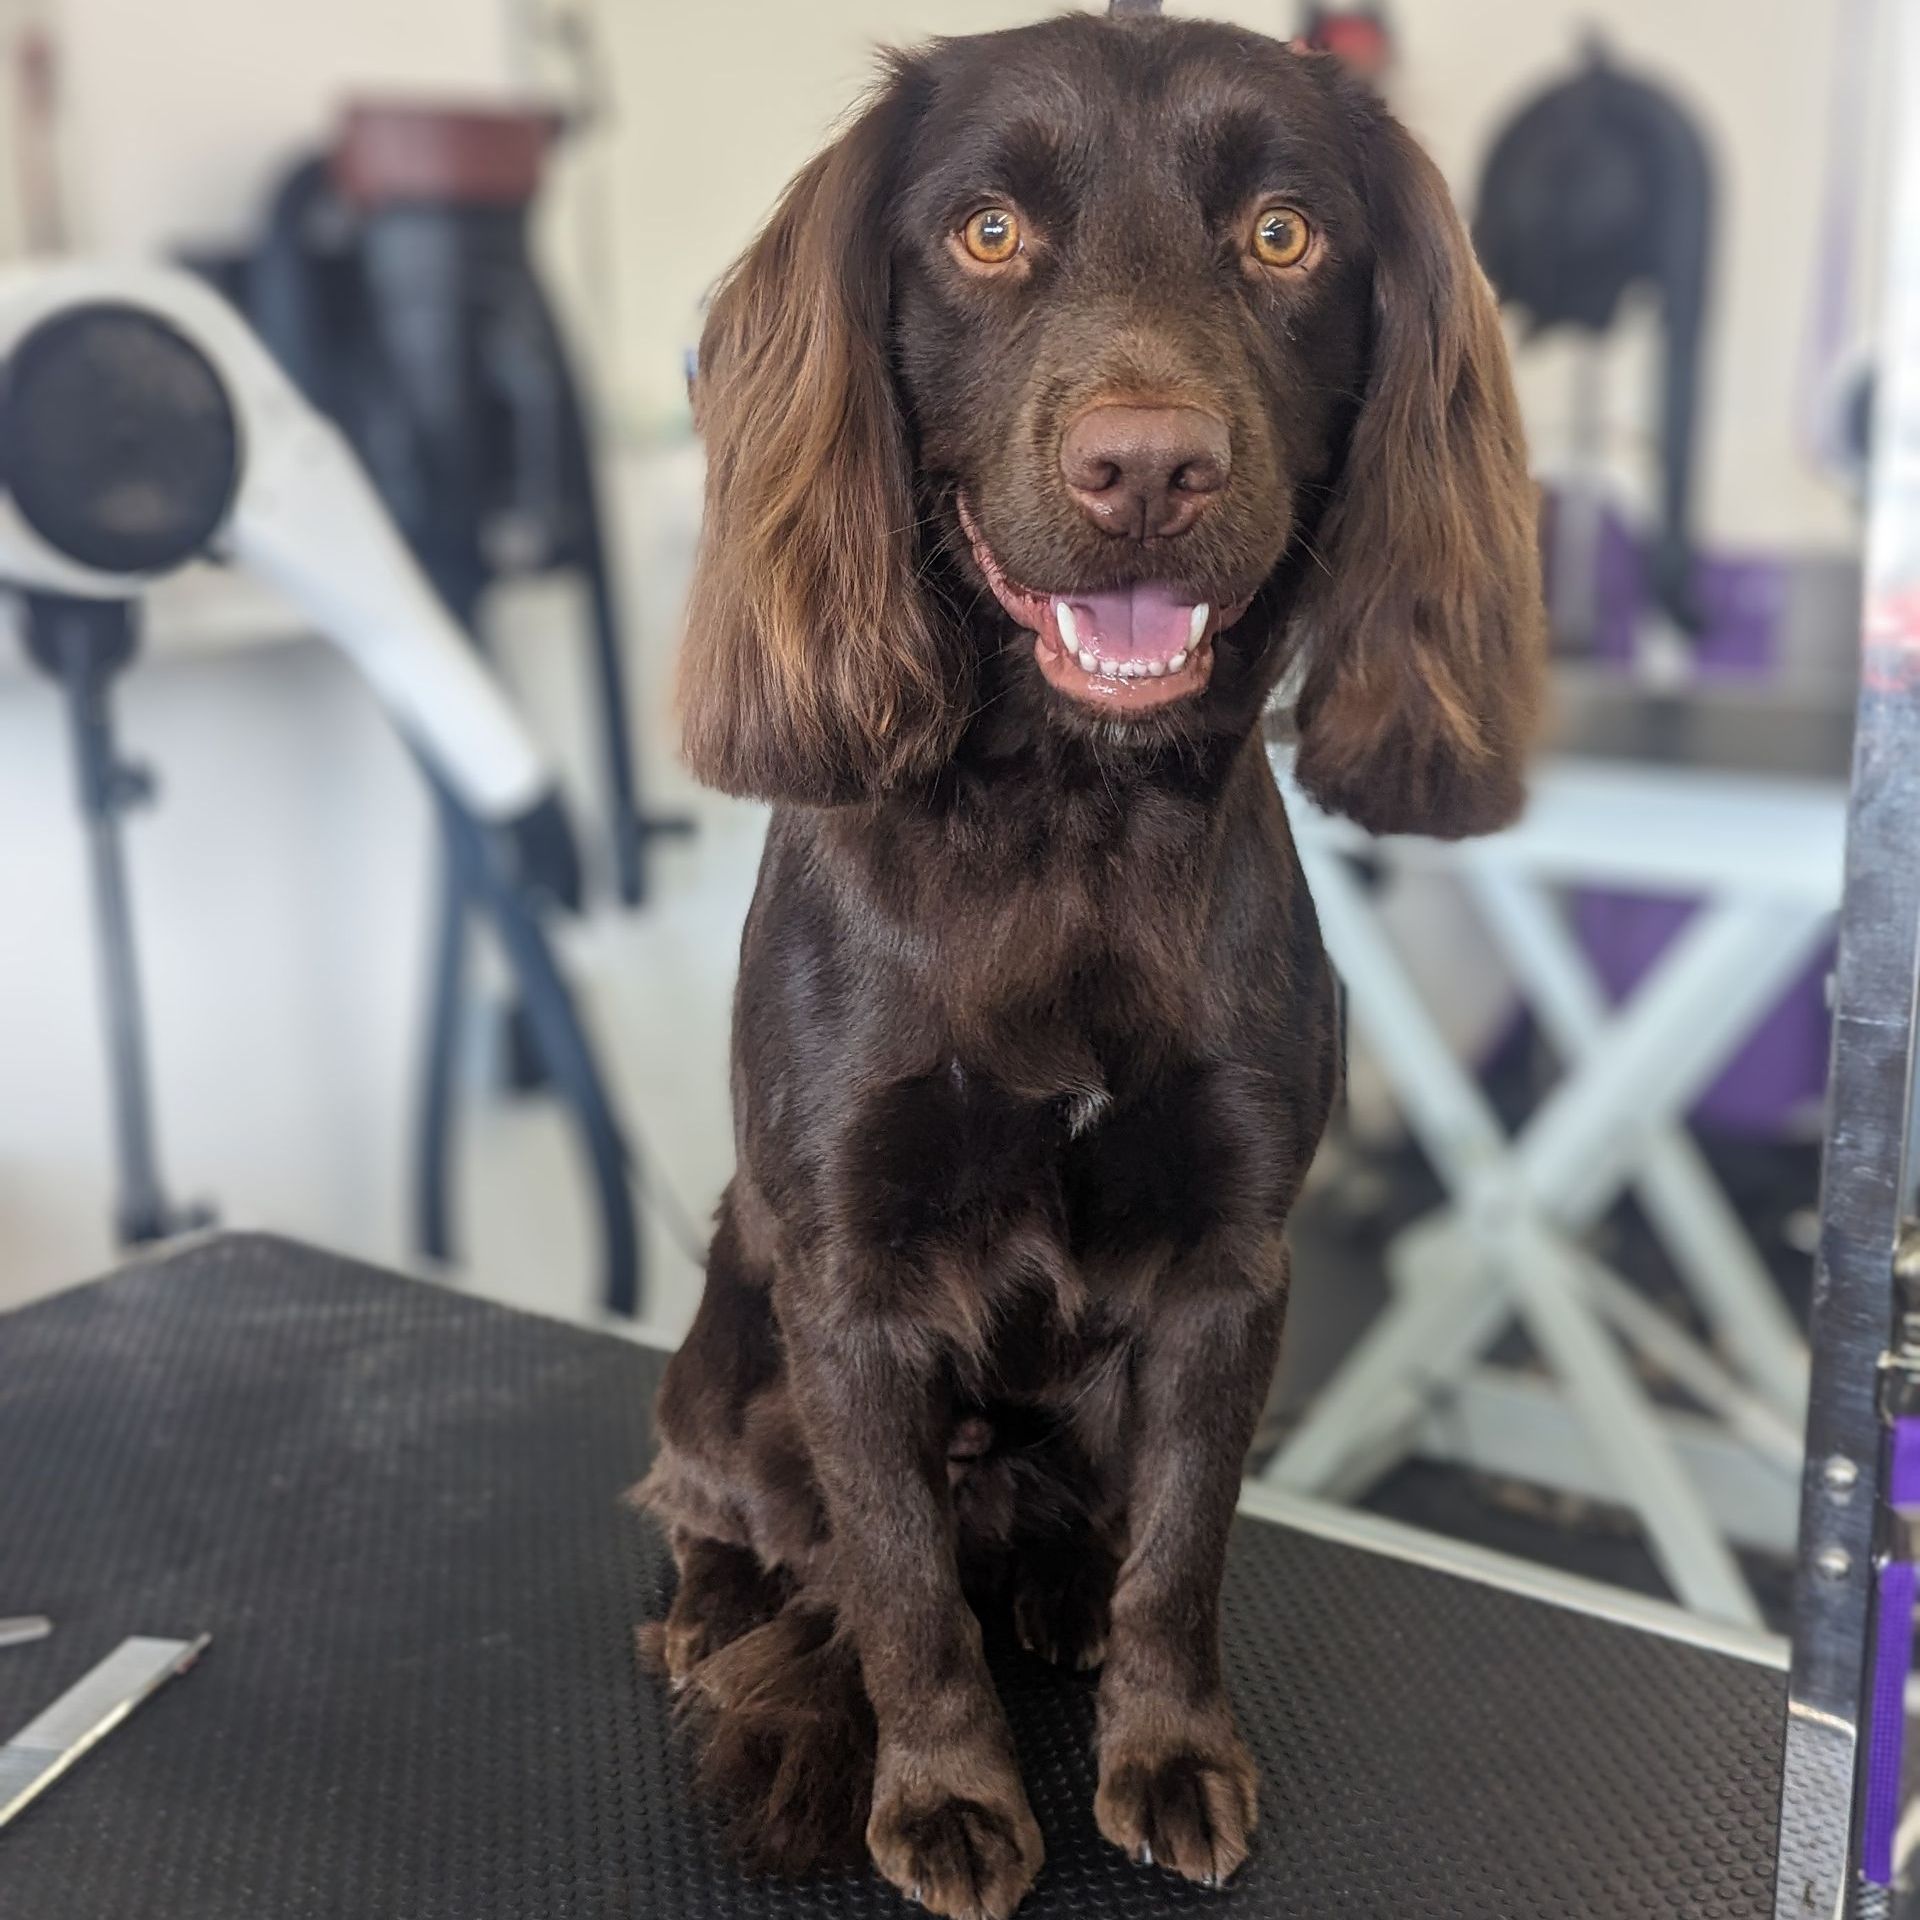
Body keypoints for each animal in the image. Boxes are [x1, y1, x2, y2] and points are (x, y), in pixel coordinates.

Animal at [636, 13, 1544, 1917]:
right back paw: (713, 1611)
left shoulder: (1226, 1271)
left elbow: (1182, 1548)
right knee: (731, 1514)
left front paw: (1169, 1749)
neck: (1072, 818)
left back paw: (1053, 1596)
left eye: (1283, 234)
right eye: (987, 233)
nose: (1146, 471)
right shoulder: (849, 1288)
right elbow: (899, 1587)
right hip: (728, 1373)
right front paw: (946, 1794)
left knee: (1068, 1527)